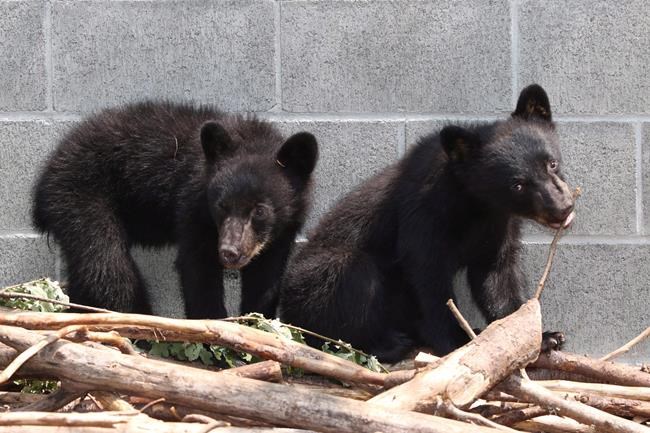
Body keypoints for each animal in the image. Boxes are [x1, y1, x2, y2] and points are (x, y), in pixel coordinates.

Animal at [32, 101, 318, 318]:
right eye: (221, 205)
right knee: (106, 262)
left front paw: (257, 323)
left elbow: (266, 276)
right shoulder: (192, 205)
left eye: (260, 210)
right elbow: (198, 267)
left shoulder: (284, 229)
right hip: (80, 196)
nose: (229, 252)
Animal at [279, 84, 574, 362]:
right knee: (353, 277)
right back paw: (388, 344)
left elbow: (497, 274)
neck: (477, 203)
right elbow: (429, 276)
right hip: (315, 283)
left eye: (552, 163)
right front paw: (457, 341)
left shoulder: (498, 224)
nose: (563, 207)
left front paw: (543, 336)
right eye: (518, 185)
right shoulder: (424, 212)